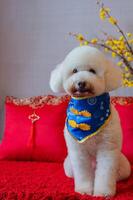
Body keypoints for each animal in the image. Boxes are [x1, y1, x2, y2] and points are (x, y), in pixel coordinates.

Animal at [49, 45, 131, 197]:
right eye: (74, 71)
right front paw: (84, 190)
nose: (81, 82)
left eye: (92, 71)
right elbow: (82, 172)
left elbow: (105, 172)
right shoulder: (78, 151)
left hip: (124, 166)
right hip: (69, 166)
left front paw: (103, 192)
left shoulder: (107, 148)